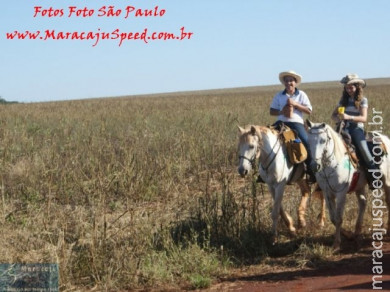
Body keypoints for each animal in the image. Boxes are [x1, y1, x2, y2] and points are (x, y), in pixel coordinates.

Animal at [308, 121, 390, 251]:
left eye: (323, 140)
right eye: (309, 140)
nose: (314, 166)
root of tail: (384, 138)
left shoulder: (341, 193)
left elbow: (338, 218)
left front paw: (336, 244)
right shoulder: (327, 193)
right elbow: (333, 218)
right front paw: (348, 235)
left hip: (386, 182)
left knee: (387, 201)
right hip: (359, 186)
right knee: (363, 203)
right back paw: (356, 232)